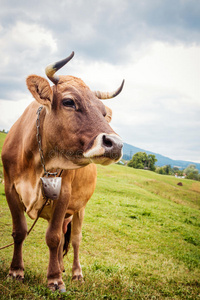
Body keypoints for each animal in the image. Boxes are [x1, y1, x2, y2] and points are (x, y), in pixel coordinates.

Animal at [1, 52, 123, 292]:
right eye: (69, 102)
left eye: (104, 112)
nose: (115, 144)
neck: (36, 160)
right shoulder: (9, 187)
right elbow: (20, 231)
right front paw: (16, 271)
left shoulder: (63, 194)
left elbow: (54, 237)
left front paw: (55, 279)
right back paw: (60, 266)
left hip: (79, 209)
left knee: (74, 239)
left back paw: (75, 273)